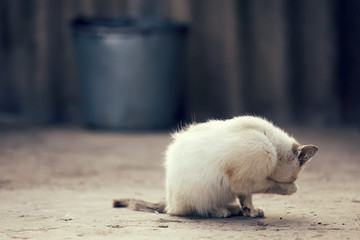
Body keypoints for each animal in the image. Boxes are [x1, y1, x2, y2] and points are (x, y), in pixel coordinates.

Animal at [113, 116, 318, 218]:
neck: (272, 145)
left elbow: (247, 197)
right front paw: (291, 188)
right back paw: (221, 212)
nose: (293, 180)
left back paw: (234, 209)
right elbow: (272, 186)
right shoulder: (244, 180)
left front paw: (250, 211)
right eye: (293, 178)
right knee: (198, 209)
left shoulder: (245, 185)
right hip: (205, 190)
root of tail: (169, 201)